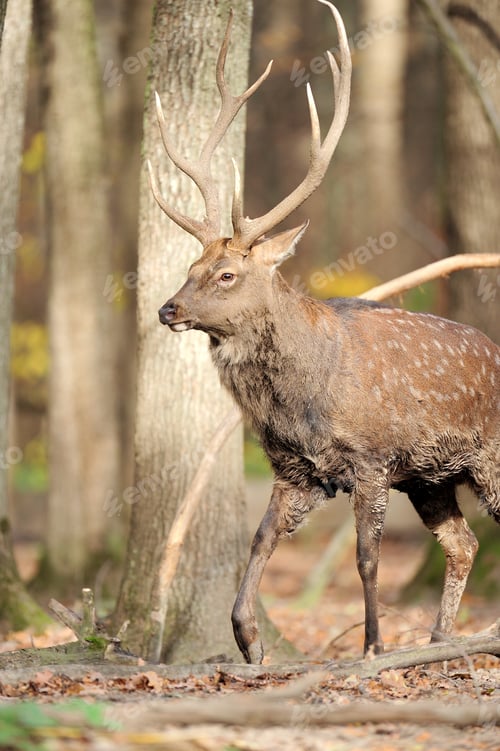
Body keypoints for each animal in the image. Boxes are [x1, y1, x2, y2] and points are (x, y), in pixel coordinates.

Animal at [147, 0, 500, 664]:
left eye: (227, 273)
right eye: (191, 266)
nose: (167, 309)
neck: (302, 402)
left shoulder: (372, 458)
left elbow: (365, 557)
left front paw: (373, 646)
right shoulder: (297, 469)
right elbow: (260, 539)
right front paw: (248, 638)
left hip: (485, 457)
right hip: (434, 478)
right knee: (463, 543)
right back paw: (439, 637)